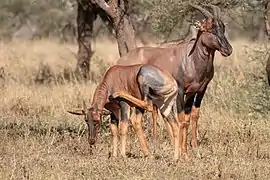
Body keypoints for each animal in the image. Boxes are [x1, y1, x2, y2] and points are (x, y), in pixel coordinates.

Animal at [117, 2, 233, 155]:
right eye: (209, 28)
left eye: (223, 27)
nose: (228, 50)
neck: (191, 58)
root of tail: (122, 60)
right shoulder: (180, 90)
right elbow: (182, 117)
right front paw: (183, 150)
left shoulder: (198, 90)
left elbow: (192, 116)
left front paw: (193, 146)